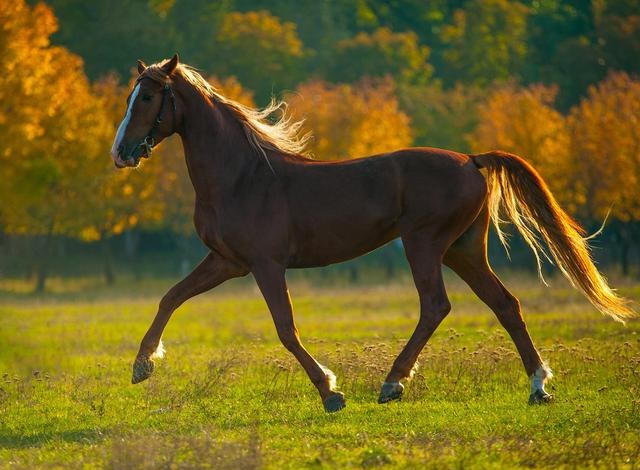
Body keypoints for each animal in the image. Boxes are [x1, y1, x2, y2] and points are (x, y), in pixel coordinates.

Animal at [111, 55, 636, 414]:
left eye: (149, 97)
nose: (120, 153)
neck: (242, 176)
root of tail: (471, 160)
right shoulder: (227, 262)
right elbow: (171, 297)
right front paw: (142, 365)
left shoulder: (266, 265)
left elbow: (286, 329)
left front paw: (330, 392)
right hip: (463, 250)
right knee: (505, 304)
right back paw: (538, 386)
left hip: (425, 244)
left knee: (436, 306)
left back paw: (393, 383)